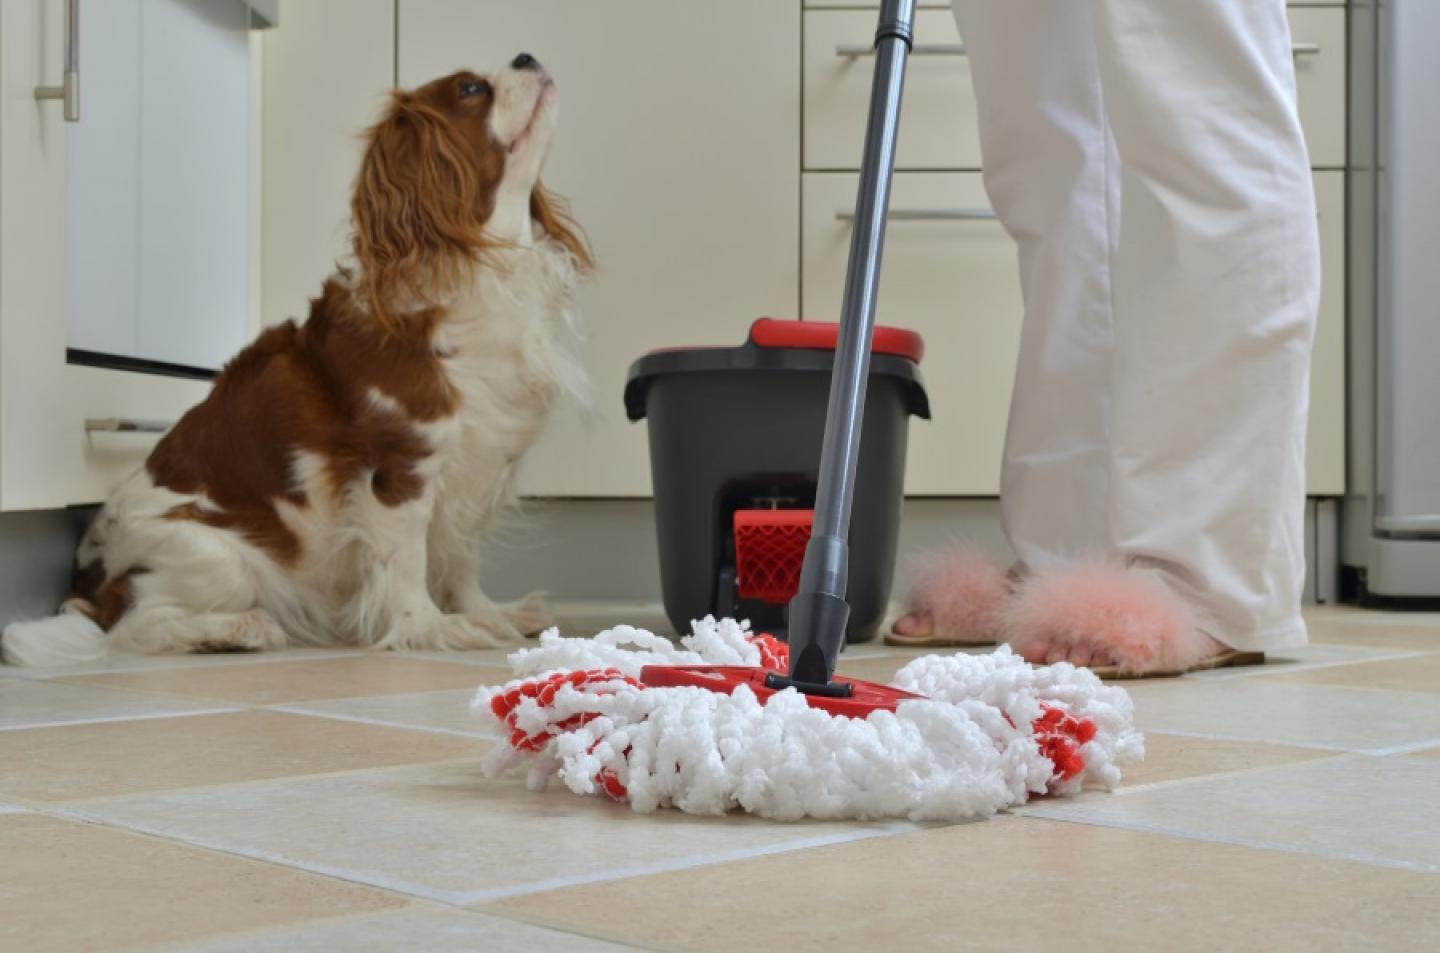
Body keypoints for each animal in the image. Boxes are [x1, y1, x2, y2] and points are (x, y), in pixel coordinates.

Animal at [2, 52, 590, 665]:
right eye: (471, 89)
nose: (526, 55)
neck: (484, 261)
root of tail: (88, 587)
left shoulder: (476, 466)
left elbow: (460, 556)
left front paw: (485, 612)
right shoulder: (401, 466)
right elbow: (406, 561)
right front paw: (430, 627)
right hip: (218, 559)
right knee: (133, 627)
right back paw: (237, 629)